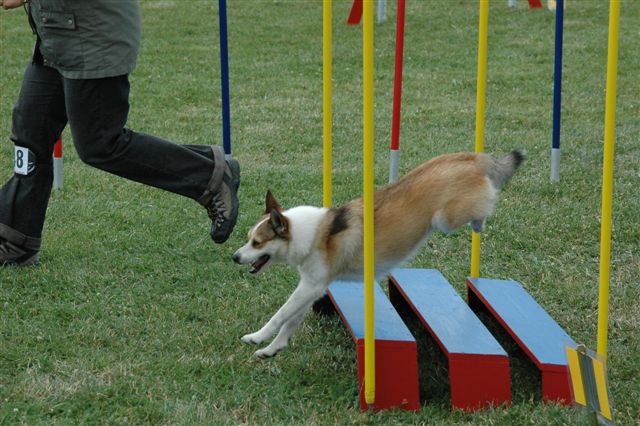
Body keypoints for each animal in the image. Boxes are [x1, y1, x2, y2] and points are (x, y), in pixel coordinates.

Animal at [232, 151, 524, 358]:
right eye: (248, 238)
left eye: (257, 243)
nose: (234, 257)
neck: (311, 234)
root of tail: (471, 157)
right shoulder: (313, 287)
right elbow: (290, 322)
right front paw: (271, 349)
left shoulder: (310, 286)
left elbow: (280, 315)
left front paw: (257, 337)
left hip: (447, 218)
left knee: (486, 202)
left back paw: (481, 220)